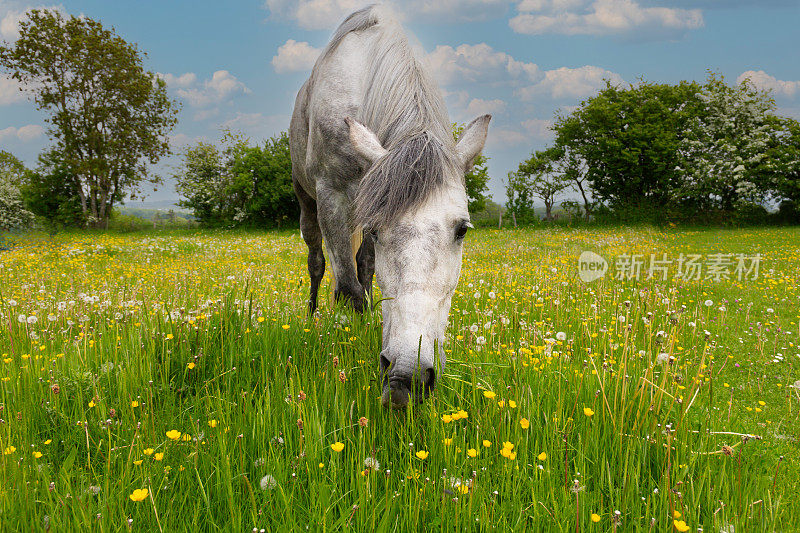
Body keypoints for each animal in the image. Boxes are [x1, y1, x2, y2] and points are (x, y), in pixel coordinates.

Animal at [288, 5, 488, 408]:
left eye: (462, 230)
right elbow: (348, 291)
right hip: (307, 202)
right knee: (318, 263)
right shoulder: (333, 197)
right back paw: (313, 316)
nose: (407, 378)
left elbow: (364, 276)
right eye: (379, 230)